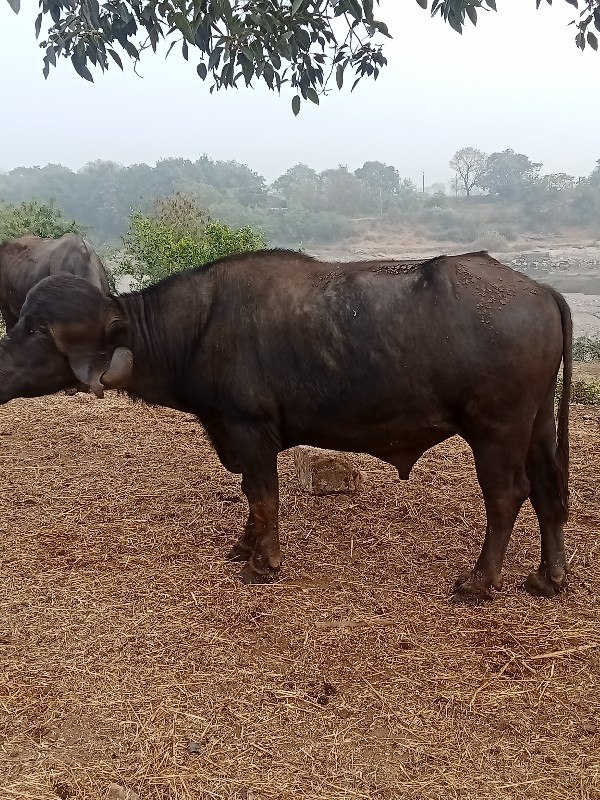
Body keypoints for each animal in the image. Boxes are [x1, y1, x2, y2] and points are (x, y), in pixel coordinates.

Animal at [0, 250, 576, 600]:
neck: (198, 328)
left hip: (496, 429)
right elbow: (252, 499)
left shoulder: (250, 431)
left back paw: (480, 581)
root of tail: (542, 290)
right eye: (22, 321)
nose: (1, 365)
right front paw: (244, 546)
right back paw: (548, 577)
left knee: (507, 495)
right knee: (548, 491)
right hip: (538, 424)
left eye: (39, 330)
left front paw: (263, 563)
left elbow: (263, 496)